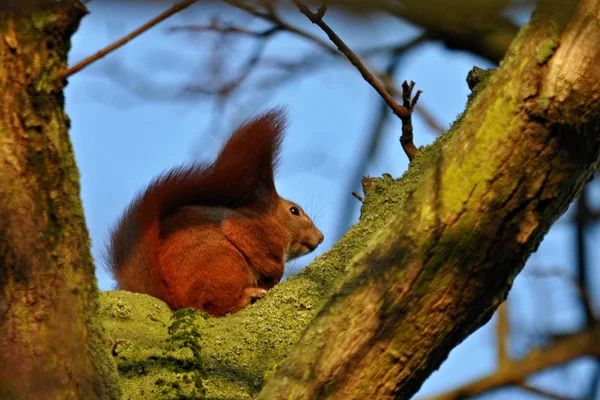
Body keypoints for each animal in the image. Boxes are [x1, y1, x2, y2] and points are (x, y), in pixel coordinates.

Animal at [106, 108, 324, 316]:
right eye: (294, 211)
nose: (321, 237)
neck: (272, 223)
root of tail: (173, 297)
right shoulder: (248, 230)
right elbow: (262, 256)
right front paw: (276, 274)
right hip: (225, 263)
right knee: (213, 305)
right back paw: (247, 296)